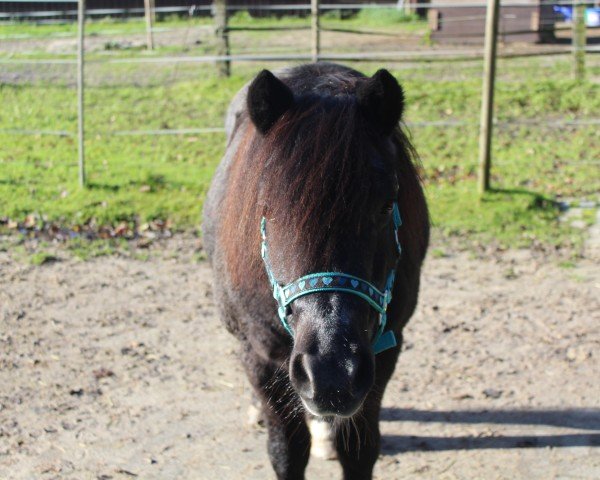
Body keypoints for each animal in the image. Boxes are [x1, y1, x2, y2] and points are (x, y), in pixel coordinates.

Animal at [204, 63, 428, 480]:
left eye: (385, 204)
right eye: (266, 207)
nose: (331, 370)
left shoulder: (385, 353)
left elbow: (358, 451)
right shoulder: (261, 356)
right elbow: (287, 452)